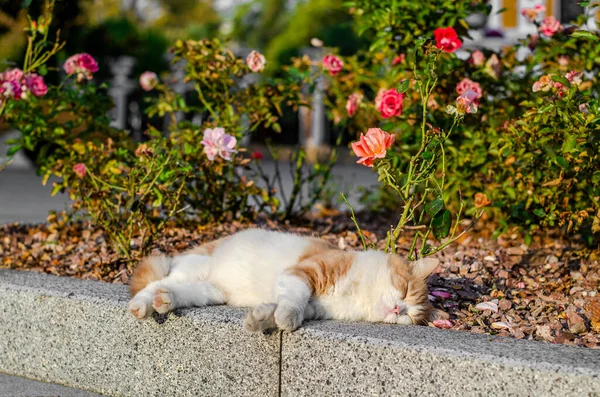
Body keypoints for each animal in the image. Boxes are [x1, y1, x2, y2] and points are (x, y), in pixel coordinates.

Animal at [127, 227, 446, 330]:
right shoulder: (306, 273)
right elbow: (293, 300)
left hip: (208, 292)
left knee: (175, 291)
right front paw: (286, 319)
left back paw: (165, 302)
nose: (398, 308)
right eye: (404, 290)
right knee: (153, 284)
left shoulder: (314, 306)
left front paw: (260, 318)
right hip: (195, 267)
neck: (359, 297)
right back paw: (142, 305)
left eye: (411, 316)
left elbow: (279, 306)